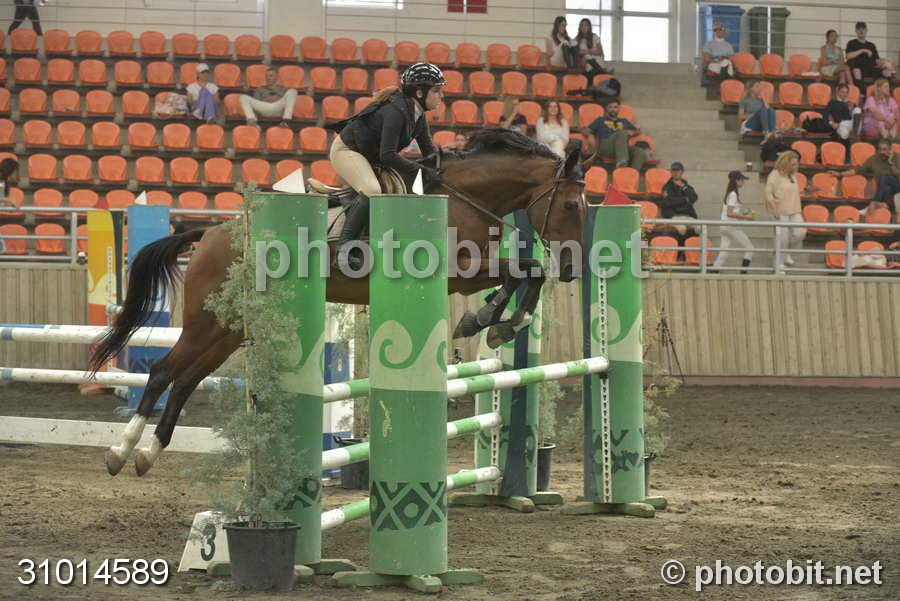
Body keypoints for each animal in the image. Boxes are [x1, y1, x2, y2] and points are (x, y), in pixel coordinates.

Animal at [91, 128, 590, 477]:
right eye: (571, 205)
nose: (573, 268)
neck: (463, 198)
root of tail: (212, 233)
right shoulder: (459, 271)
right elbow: (522, 270)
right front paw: (486, 319)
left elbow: (527, 271)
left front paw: (497, 323)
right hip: (207, 321)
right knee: (163, 372)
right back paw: (119, 451)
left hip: (227, 330)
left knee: (186, 379)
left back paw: (146, 454)